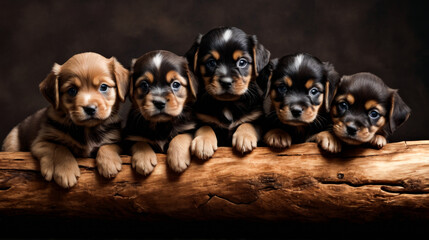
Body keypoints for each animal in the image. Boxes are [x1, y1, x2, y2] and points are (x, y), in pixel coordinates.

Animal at [1, 52, 129, 188]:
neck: (86, 130)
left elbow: (107, 145)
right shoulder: (41, 141)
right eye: (72, 90)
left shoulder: (115, 138)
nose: (90, 109)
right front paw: (66, 171)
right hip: (11, 142)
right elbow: (60, 148)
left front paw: (109, 163)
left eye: (103, 87)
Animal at [185, 25, 270, 159]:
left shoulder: (257, 118)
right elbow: (205, 126)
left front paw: (244, 137)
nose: (226, 82)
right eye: (211, 62)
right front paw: (203, 142)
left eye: (242, 62)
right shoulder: (200, 118)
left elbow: (248, 124)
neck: (228, 104)